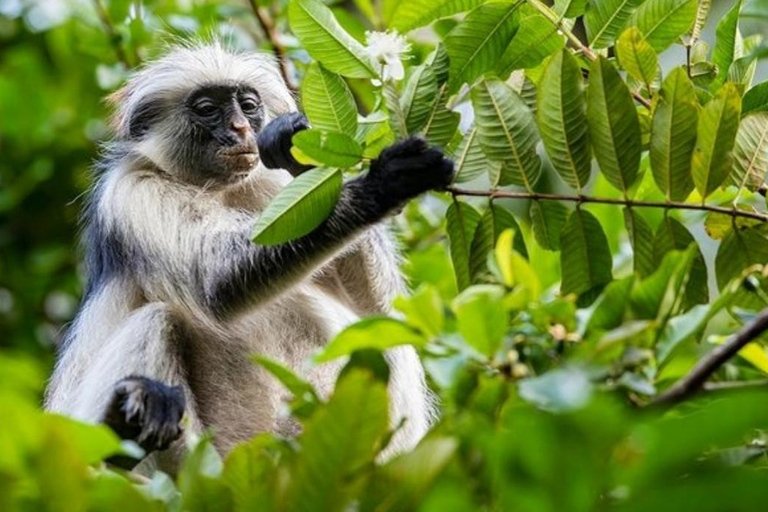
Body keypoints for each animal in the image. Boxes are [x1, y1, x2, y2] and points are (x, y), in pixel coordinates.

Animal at [45, 42, 452, 474]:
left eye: (248, 105)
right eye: (208, 108)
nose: (241, 128)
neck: (216, 189)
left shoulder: (270, 184)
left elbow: (385, 311)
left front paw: (302, 150)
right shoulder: (131, 192)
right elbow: (216, 281)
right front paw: (386, 182)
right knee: (154, 320)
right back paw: (124, 426)